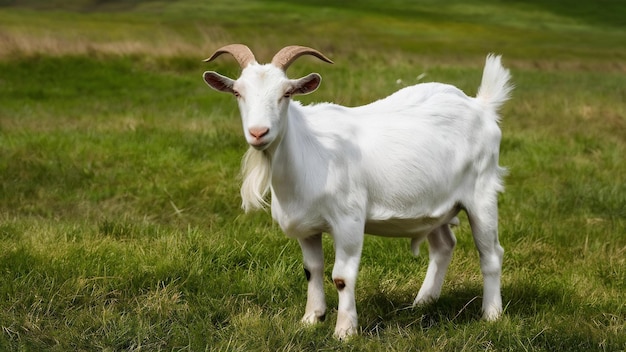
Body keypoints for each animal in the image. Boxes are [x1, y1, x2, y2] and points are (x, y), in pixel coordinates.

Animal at [202, 44, 510, 338]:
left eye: (286, 93)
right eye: (238, 92)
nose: (258, 132)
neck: (309, 147)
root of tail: (481, 105)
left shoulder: (348, 219)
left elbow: (342, 277)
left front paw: (345, 331)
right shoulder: (307, 227)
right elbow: (312, 270)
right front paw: (311, 319)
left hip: (482, 193)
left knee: (491, 253)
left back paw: (492, 314)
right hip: (436, 205)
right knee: (444, 246)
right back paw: (423, 302)